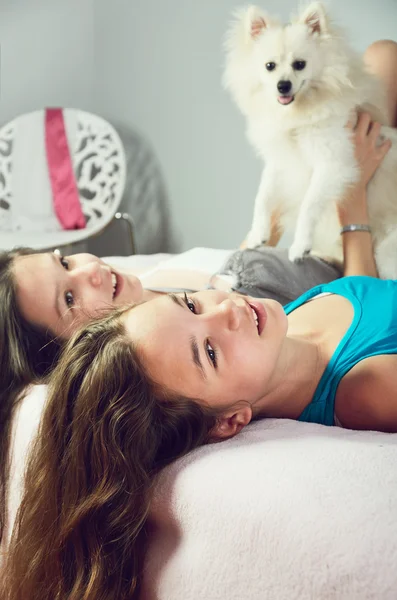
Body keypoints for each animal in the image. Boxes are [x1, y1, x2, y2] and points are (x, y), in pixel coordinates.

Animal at [223, 0, 396, 276]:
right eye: (269, 66)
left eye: (300, 64)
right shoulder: (279, 163)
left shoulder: (332, 164)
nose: (282, 85)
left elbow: (308, 205)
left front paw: (300, 246)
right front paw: (258, 232)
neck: (298, 116)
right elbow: (262, 196)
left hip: (388, 254)